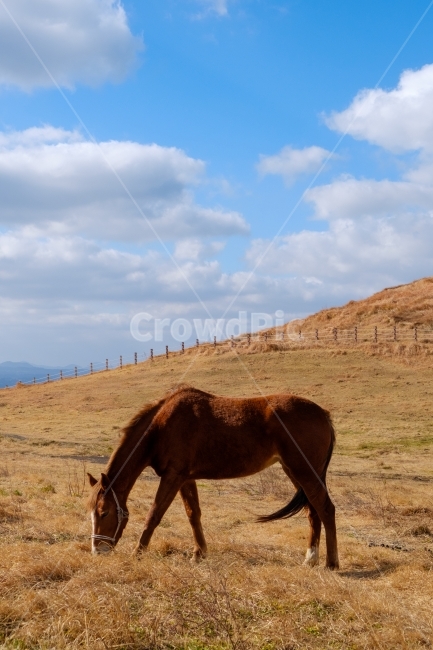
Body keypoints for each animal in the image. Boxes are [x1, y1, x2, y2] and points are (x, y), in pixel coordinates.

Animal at [87, 386, 339, 569]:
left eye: (104, 512)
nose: (98, 550)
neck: (162, 426)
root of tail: (323, 414)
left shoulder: (173, 476)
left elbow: (154, 515)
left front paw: (137, 553)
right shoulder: (185, 478)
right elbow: (193, 515)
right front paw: (199, 554)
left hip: (304, 471)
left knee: (326, 509)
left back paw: (331, 563)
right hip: (295, 472)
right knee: (313, 511)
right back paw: (310, 559)